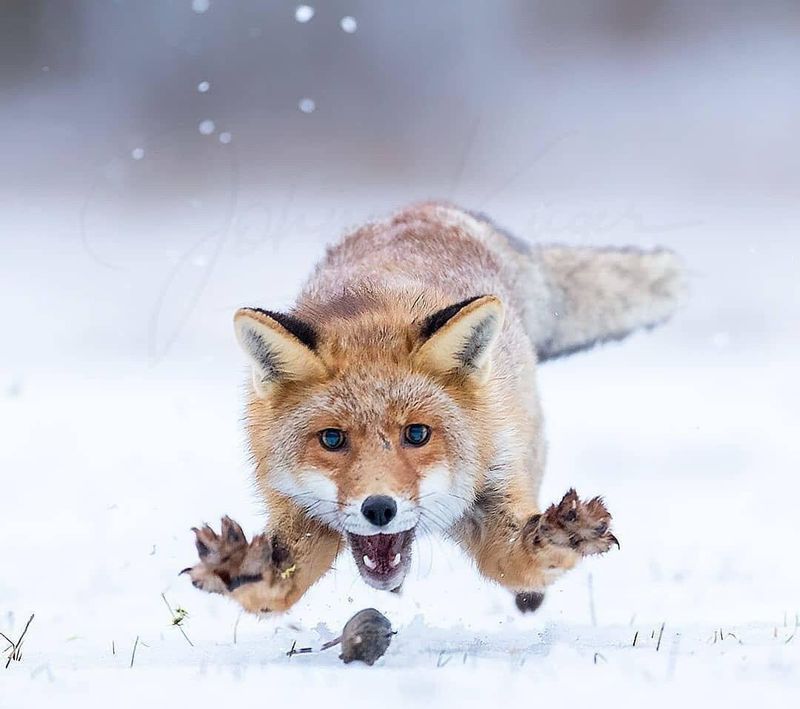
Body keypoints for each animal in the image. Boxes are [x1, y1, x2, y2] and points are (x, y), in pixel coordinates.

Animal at [183, 201, 684, 614]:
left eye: (417, 434)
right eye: (332, 439)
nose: (378, 509)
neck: (373, 307)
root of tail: (434, 207)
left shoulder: (491, 488)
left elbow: (521, 558)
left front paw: (559, 538)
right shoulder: (298, 508)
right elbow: (276, 586)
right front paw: (242, 569)